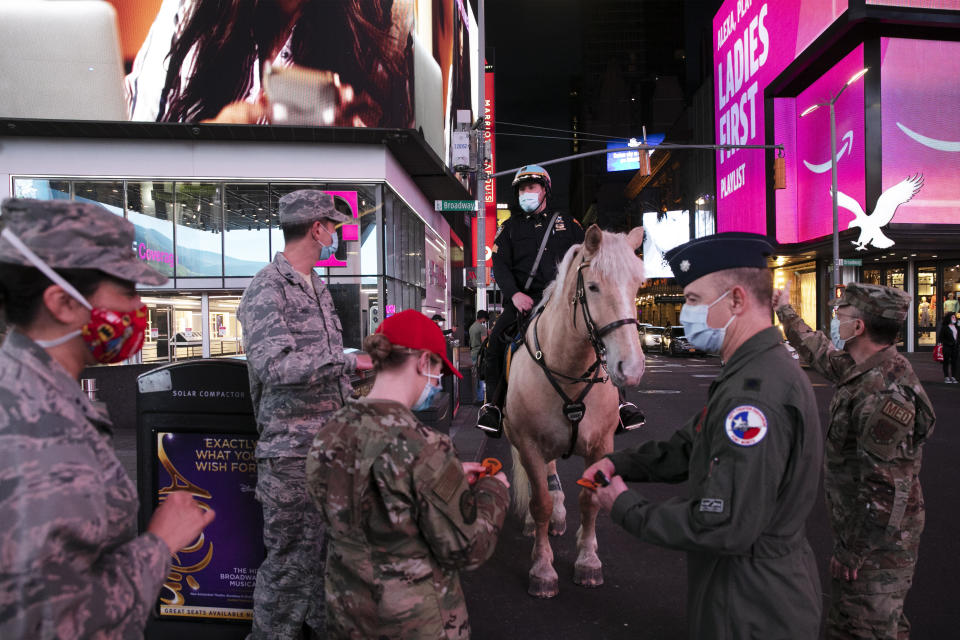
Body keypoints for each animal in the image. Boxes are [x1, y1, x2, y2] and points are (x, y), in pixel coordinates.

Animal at [502, 222, 644, 596]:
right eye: (593, 287)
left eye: (638, 285)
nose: (632, 368)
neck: (569, 365)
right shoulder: (529, 444)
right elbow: (539, 501)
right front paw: (542, 568)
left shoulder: (600, 445)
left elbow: (590, 502)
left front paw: (588, 561)